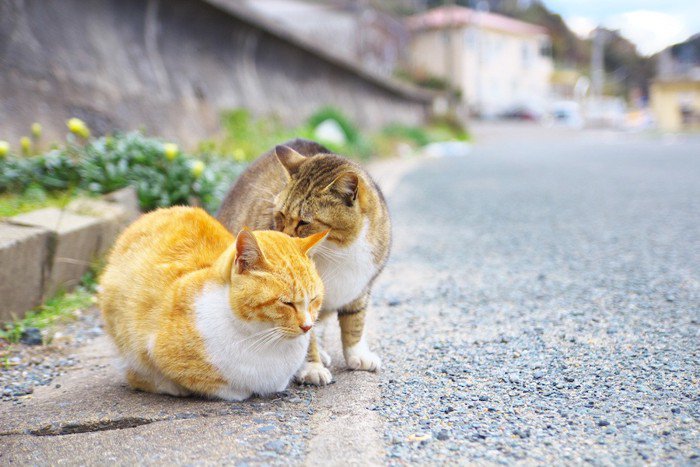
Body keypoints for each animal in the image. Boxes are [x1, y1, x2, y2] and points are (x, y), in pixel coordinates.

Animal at [217, 140, 392, 388]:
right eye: (280, 214)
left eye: (304, 222)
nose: (284, 238)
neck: (338, 253)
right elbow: (305, 337)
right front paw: (312, 368)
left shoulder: (360, 288)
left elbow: (355, 322)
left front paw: (357, 354)